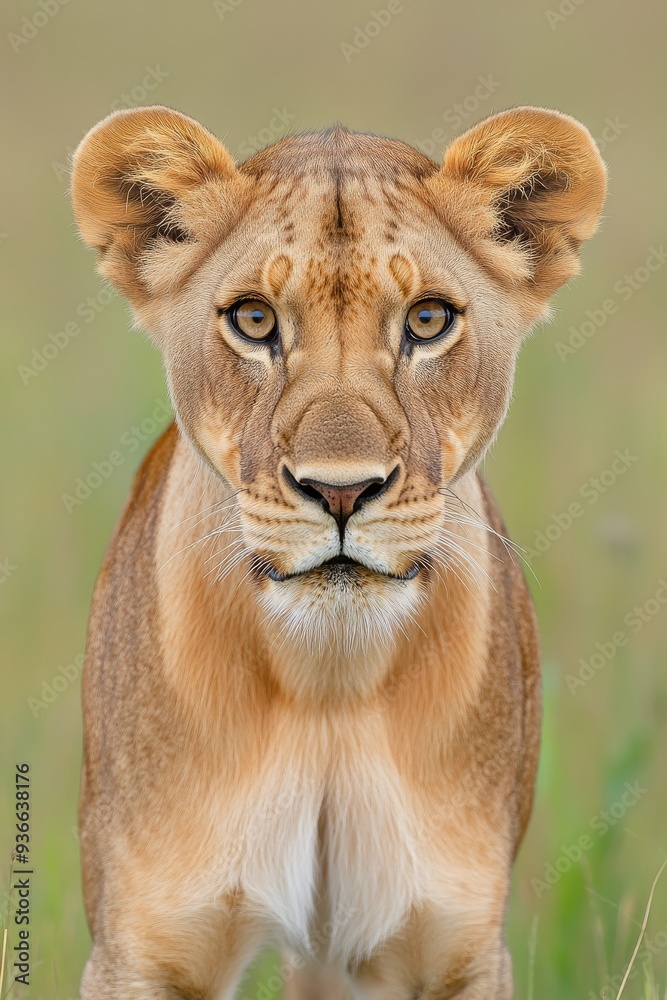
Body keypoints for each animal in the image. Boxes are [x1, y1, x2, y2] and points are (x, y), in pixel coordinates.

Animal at [71, 105, 606, 998]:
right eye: (254, 320)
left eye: (427, 320)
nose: (342, 491)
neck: (329, 678)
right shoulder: (142, 944)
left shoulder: (454, 944)